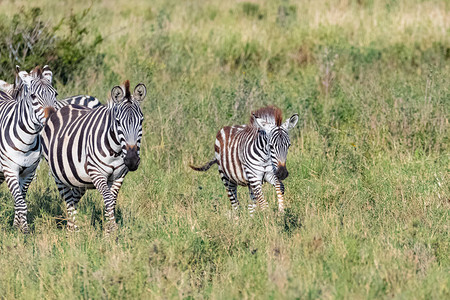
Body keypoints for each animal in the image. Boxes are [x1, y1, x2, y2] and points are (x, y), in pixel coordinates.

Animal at [0, 64, 58, 232]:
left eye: (55, 94)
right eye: (33, 96)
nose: (53, 118)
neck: (27, 141)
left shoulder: (29, 172)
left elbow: (20, 200)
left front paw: (17, 226)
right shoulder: (10, 170)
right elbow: (21, 203)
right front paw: (23, 230)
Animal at [41, 79, 147, 232]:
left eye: (141, 121)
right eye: (118, 122)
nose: (132, 160)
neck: (115, 151)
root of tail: (61, 109)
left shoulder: (119, 176)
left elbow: (112, 201)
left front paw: (109, 231)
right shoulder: (96, 172)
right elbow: (108, 199)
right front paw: (112, 229)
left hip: (79, 178)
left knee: (74, 198)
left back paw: (73, 228)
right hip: (59, 175)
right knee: (68, 200)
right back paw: (72, 231)